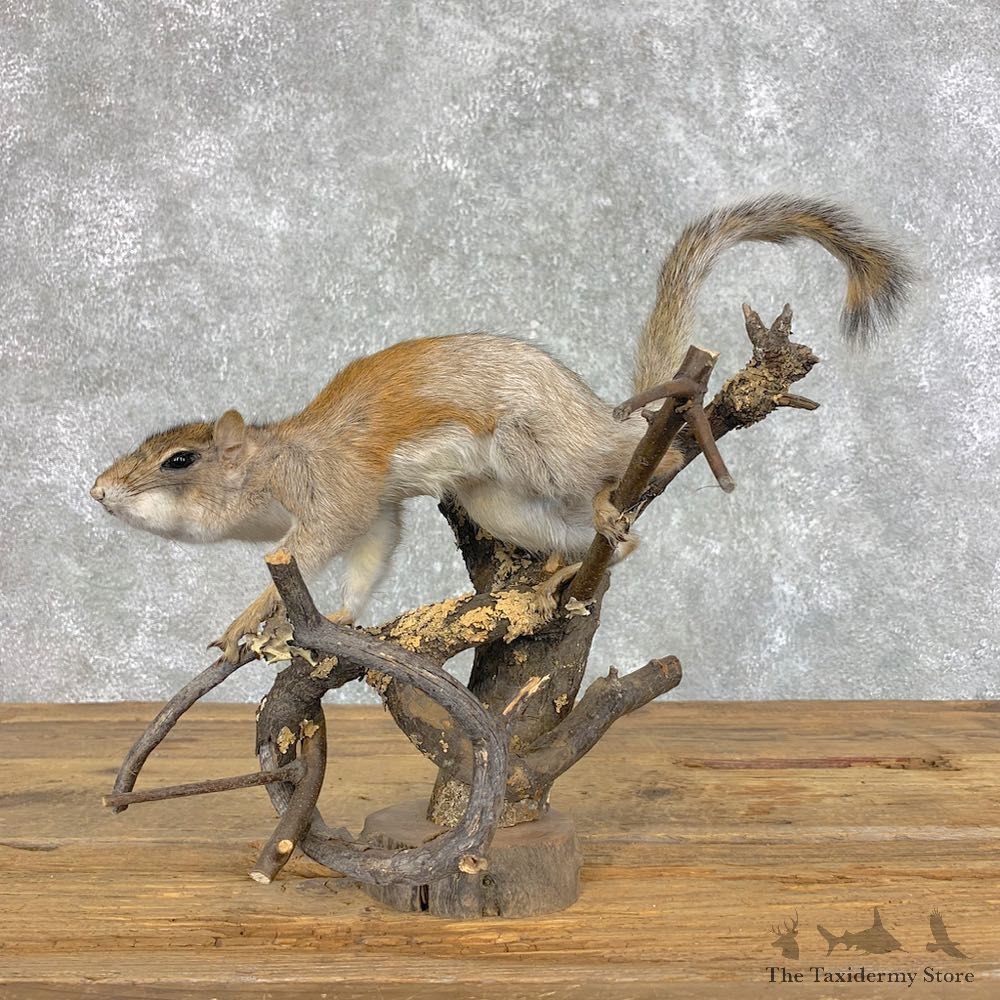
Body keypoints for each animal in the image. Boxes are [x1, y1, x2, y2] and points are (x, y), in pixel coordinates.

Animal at [90, 194, 912, 663]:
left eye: (179, 460)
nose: (98, 491)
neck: (280, 459)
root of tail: (604, 423)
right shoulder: (378, 512)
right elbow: (370, 559)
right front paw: (344, 618)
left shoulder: (339, 493)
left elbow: (313, 547)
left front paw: (249, 619)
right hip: (496, 500)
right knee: (602, 541)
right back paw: (561, 572)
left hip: (537, 448)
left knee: (629, 471)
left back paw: (616, 496)